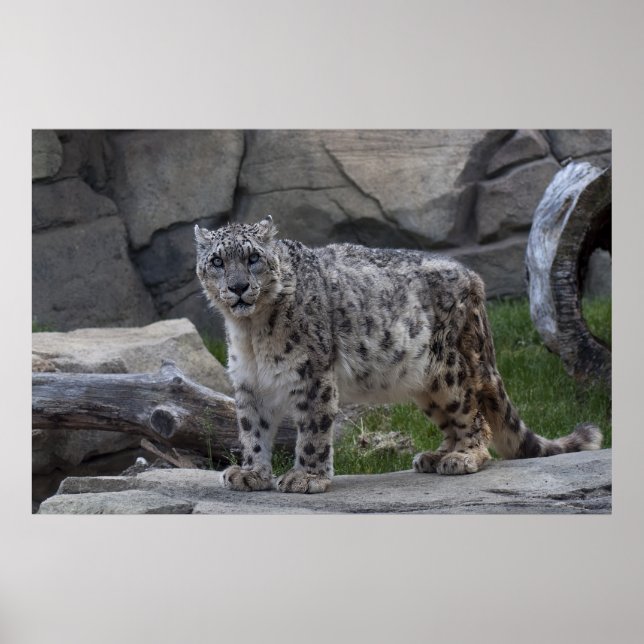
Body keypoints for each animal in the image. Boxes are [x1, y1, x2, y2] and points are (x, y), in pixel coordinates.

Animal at [195, 215, 602, 494]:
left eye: (253, 258)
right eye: (217, 261)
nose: (238, 287)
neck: (251, 334)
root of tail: (474, 280)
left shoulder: (313, 374)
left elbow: (312, 429)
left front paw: (306, 477)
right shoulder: (249, 383)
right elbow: (252, 429)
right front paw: (250, 473)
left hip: (450, 370)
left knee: (475, 417)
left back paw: (463, 457)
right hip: (427, 386)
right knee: (454, 420)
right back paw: (435, 456)